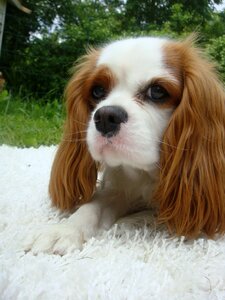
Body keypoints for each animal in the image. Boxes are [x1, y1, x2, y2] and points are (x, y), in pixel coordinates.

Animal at [25, 36, 225, 254]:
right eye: (97, 91)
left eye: (157, 91)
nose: (106, 117)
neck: (147, 174)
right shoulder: (119, 188)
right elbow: (92, 206)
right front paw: (64, 229)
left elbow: (162, 214)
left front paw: (130, 221)